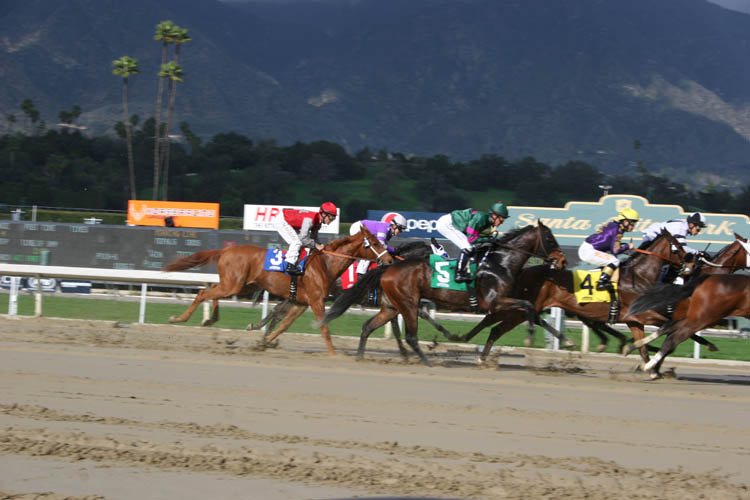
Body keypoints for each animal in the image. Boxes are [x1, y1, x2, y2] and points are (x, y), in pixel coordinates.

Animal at [162, 227, 396, 356]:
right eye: (375, 243)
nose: (389, 260)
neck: (325, 263)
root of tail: (225, 250)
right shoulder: (316, 301)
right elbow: (324, 328)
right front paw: (334, 354)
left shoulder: (302, 302)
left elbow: (284, 325)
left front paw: (264, 342)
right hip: (234, 284)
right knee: (204, 294)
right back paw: (178, 318)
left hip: (242, 285)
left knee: (212, 292)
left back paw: (210, 320)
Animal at [320, 221, 568, 366]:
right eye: (550, 239)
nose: (563, 261)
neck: (499, 263)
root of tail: (390, 267)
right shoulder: (494, 302)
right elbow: (527, 306)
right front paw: (531, 335)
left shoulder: (498, 304)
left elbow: (524, 312)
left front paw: (564, 339)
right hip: (406, 302)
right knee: (408, 334)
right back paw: (422, 360)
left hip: (393, 304)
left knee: (371, 326)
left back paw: (365, 356)